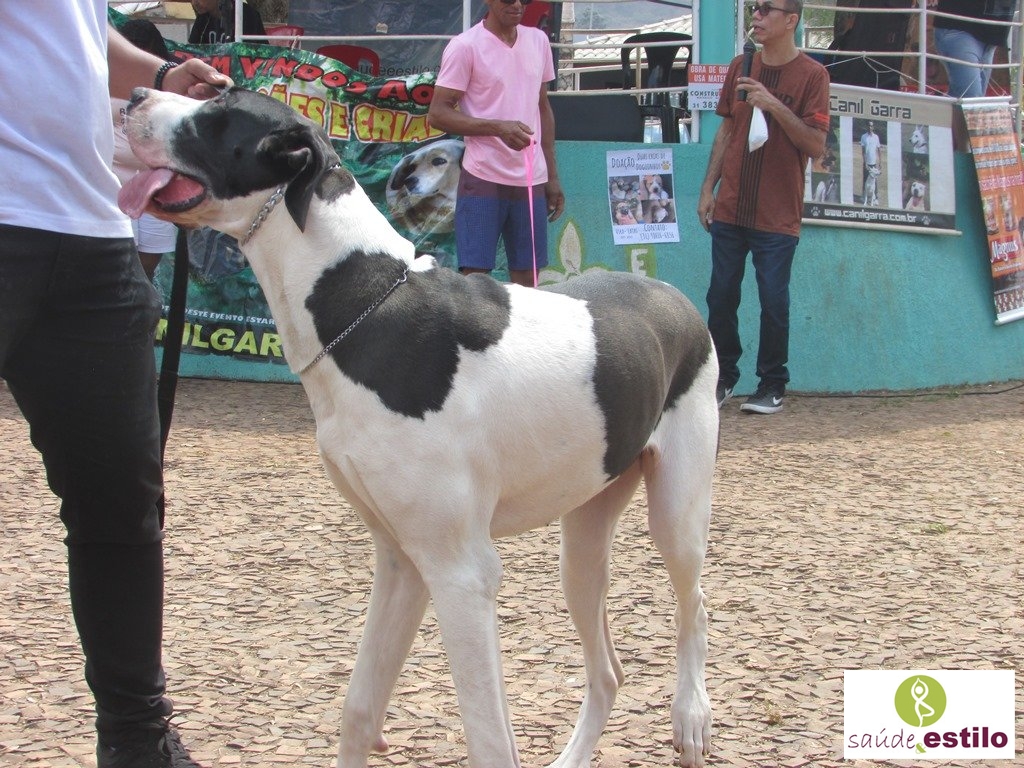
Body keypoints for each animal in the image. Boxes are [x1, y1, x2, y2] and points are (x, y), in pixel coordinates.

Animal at [119, 87, 717, 768]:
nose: (134, 93)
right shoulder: (403, 559)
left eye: (216, 114)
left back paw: (691, 715)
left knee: (695, 605)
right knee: (608, 670)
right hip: (583, 542)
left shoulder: (460, 571)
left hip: (677, 516)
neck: (361, 299)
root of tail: (673, 296)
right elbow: (358, 709)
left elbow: (488, 739)